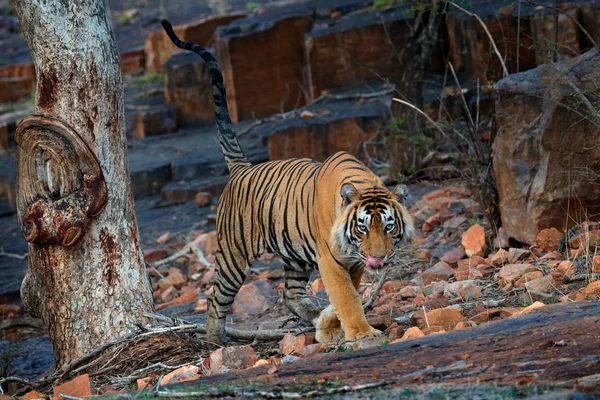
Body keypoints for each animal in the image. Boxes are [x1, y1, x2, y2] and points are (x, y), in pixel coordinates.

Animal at [163, 20, 418, 344]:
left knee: (291, 294)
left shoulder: (352, 261)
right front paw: (362, 333)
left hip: (296, 256)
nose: (378, 258)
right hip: (234, 254)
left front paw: (331, 324)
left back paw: (315, 318)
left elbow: (348, 294)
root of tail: (242, 168)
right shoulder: (333, 259)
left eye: (388, 227)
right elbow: (346, 296)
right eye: (362, 227)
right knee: (216, 297)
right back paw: (216, 340)